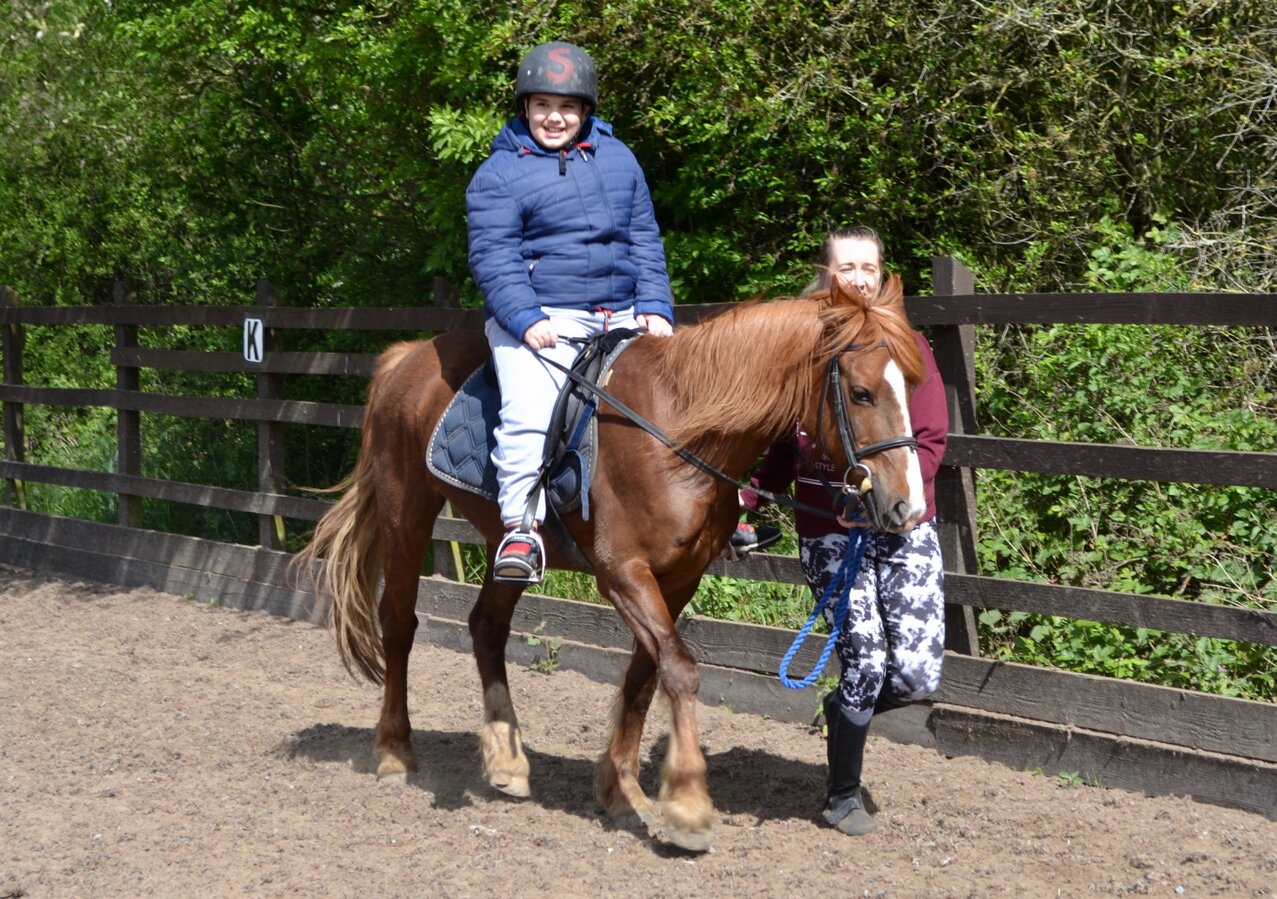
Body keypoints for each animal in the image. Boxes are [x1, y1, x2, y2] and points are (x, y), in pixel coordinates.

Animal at [293, 272, 927, 852]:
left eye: (910, 387)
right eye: (862, 393)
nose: (907, 506)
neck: (676, 431)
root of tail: (406, 357)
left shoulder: (678, 578)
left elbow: (647, 676)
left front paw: (621, 792)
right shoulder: (623, 574)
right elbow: (679, 670)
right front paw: (688, 806)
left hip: (508, 542)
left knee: (486, 627)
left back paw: (506, 759)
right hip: (406, 516)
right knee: (399, 625)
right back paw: (395, 751)